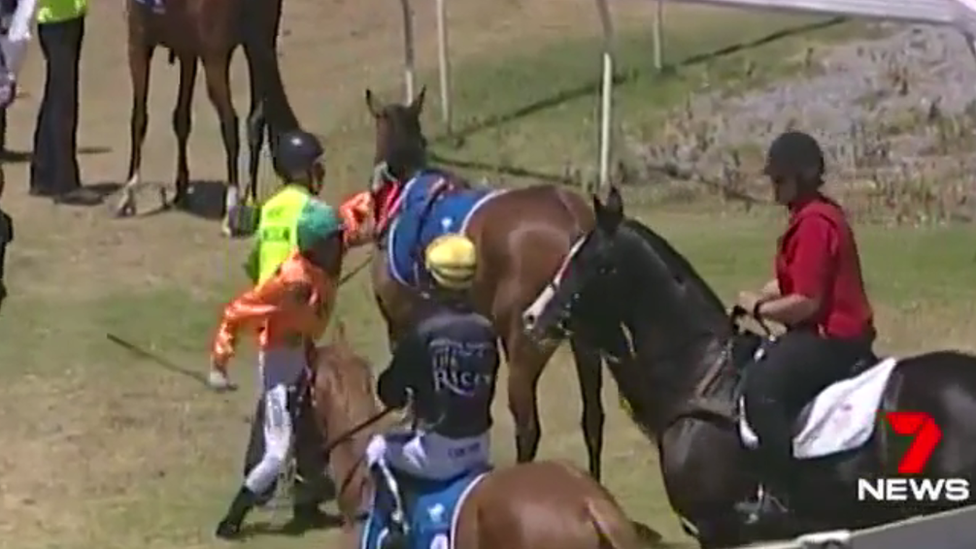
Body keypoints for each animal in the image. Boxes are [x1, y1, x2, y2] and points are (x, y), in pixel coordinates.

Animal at [117, 0, 298, 231]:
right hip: (259, 46)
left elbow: (139, 119)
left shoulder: (138, 43)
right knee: (256, 120)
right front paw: (181, 188)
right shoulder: (187, 51)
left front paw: (129, 193)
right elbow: (181, 120)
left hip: (216, 58)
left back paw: (232, 209)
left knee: (230, 122)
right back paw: (249, 201)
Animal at [358, 86, 632, 480]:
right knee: (593, 418)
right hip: (585, 345)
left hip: (524, 346)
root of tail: (572, 218)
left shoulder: (402, 324)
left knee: (528, 427)